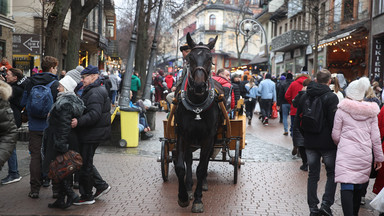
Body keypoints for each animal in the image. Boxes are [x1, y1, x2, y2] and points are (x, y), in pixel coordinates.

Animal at [174, 32, 222, 213]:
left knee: (205, 161)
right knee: (188, 159)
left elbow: (201, 168)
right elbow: (181, 166)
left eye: (210, 58)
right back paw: (188, 187)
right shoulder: (182, 134)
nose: (200, 86)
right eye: (190, 58)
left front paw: (198, 200)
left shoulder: (208, 137)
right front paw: (183, 197)